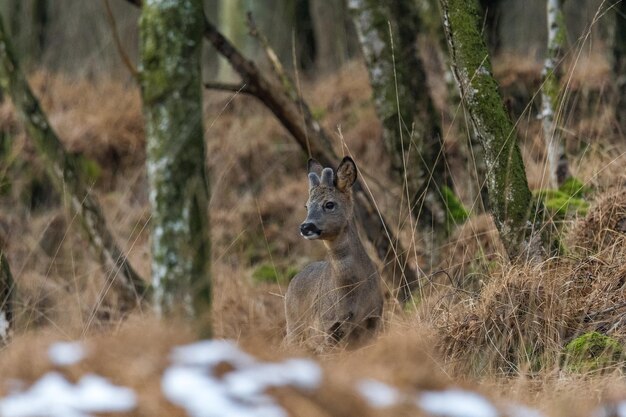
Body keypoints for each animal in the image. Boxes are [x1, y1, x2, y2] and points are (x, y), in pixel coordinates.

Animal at [282, 157, 380, 352]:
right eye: (306, 206)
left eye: (329, 204)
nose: (305, 227)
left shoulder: (375, 319)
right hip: (295, 328)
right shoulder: (327, 327)